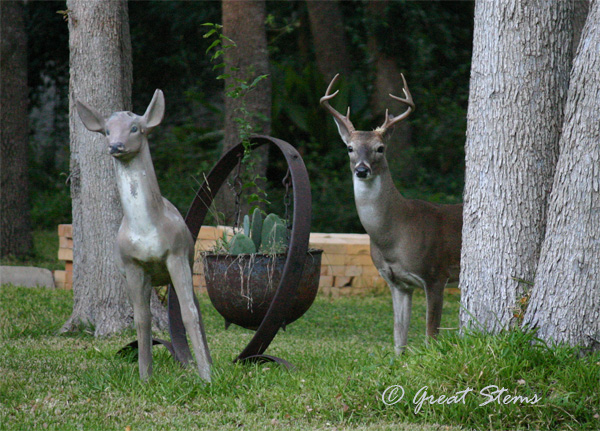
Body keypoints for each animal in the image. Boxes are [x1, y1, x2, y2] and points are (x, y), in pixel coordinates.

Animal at [75, 90, 211, 382]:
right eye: (106, 130)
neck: (146, 229)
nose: (115, 145)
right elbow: (142, 319)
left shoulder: (176, 254)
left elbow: (189, 314)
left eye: (136, 128)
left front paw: (208, 376)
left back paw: (205, 363)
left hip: (184, 263)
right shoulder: (132, 265)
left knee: (195, 308)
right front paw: (145, 376)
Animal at [322, 74, 462, 354]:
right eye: (350, 148)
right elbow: (399, 338)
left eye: (380, 148)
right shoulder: (396, 282)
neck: (394, 235)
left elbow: (431, 336)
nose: (362, 170)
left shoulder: (435, 273)